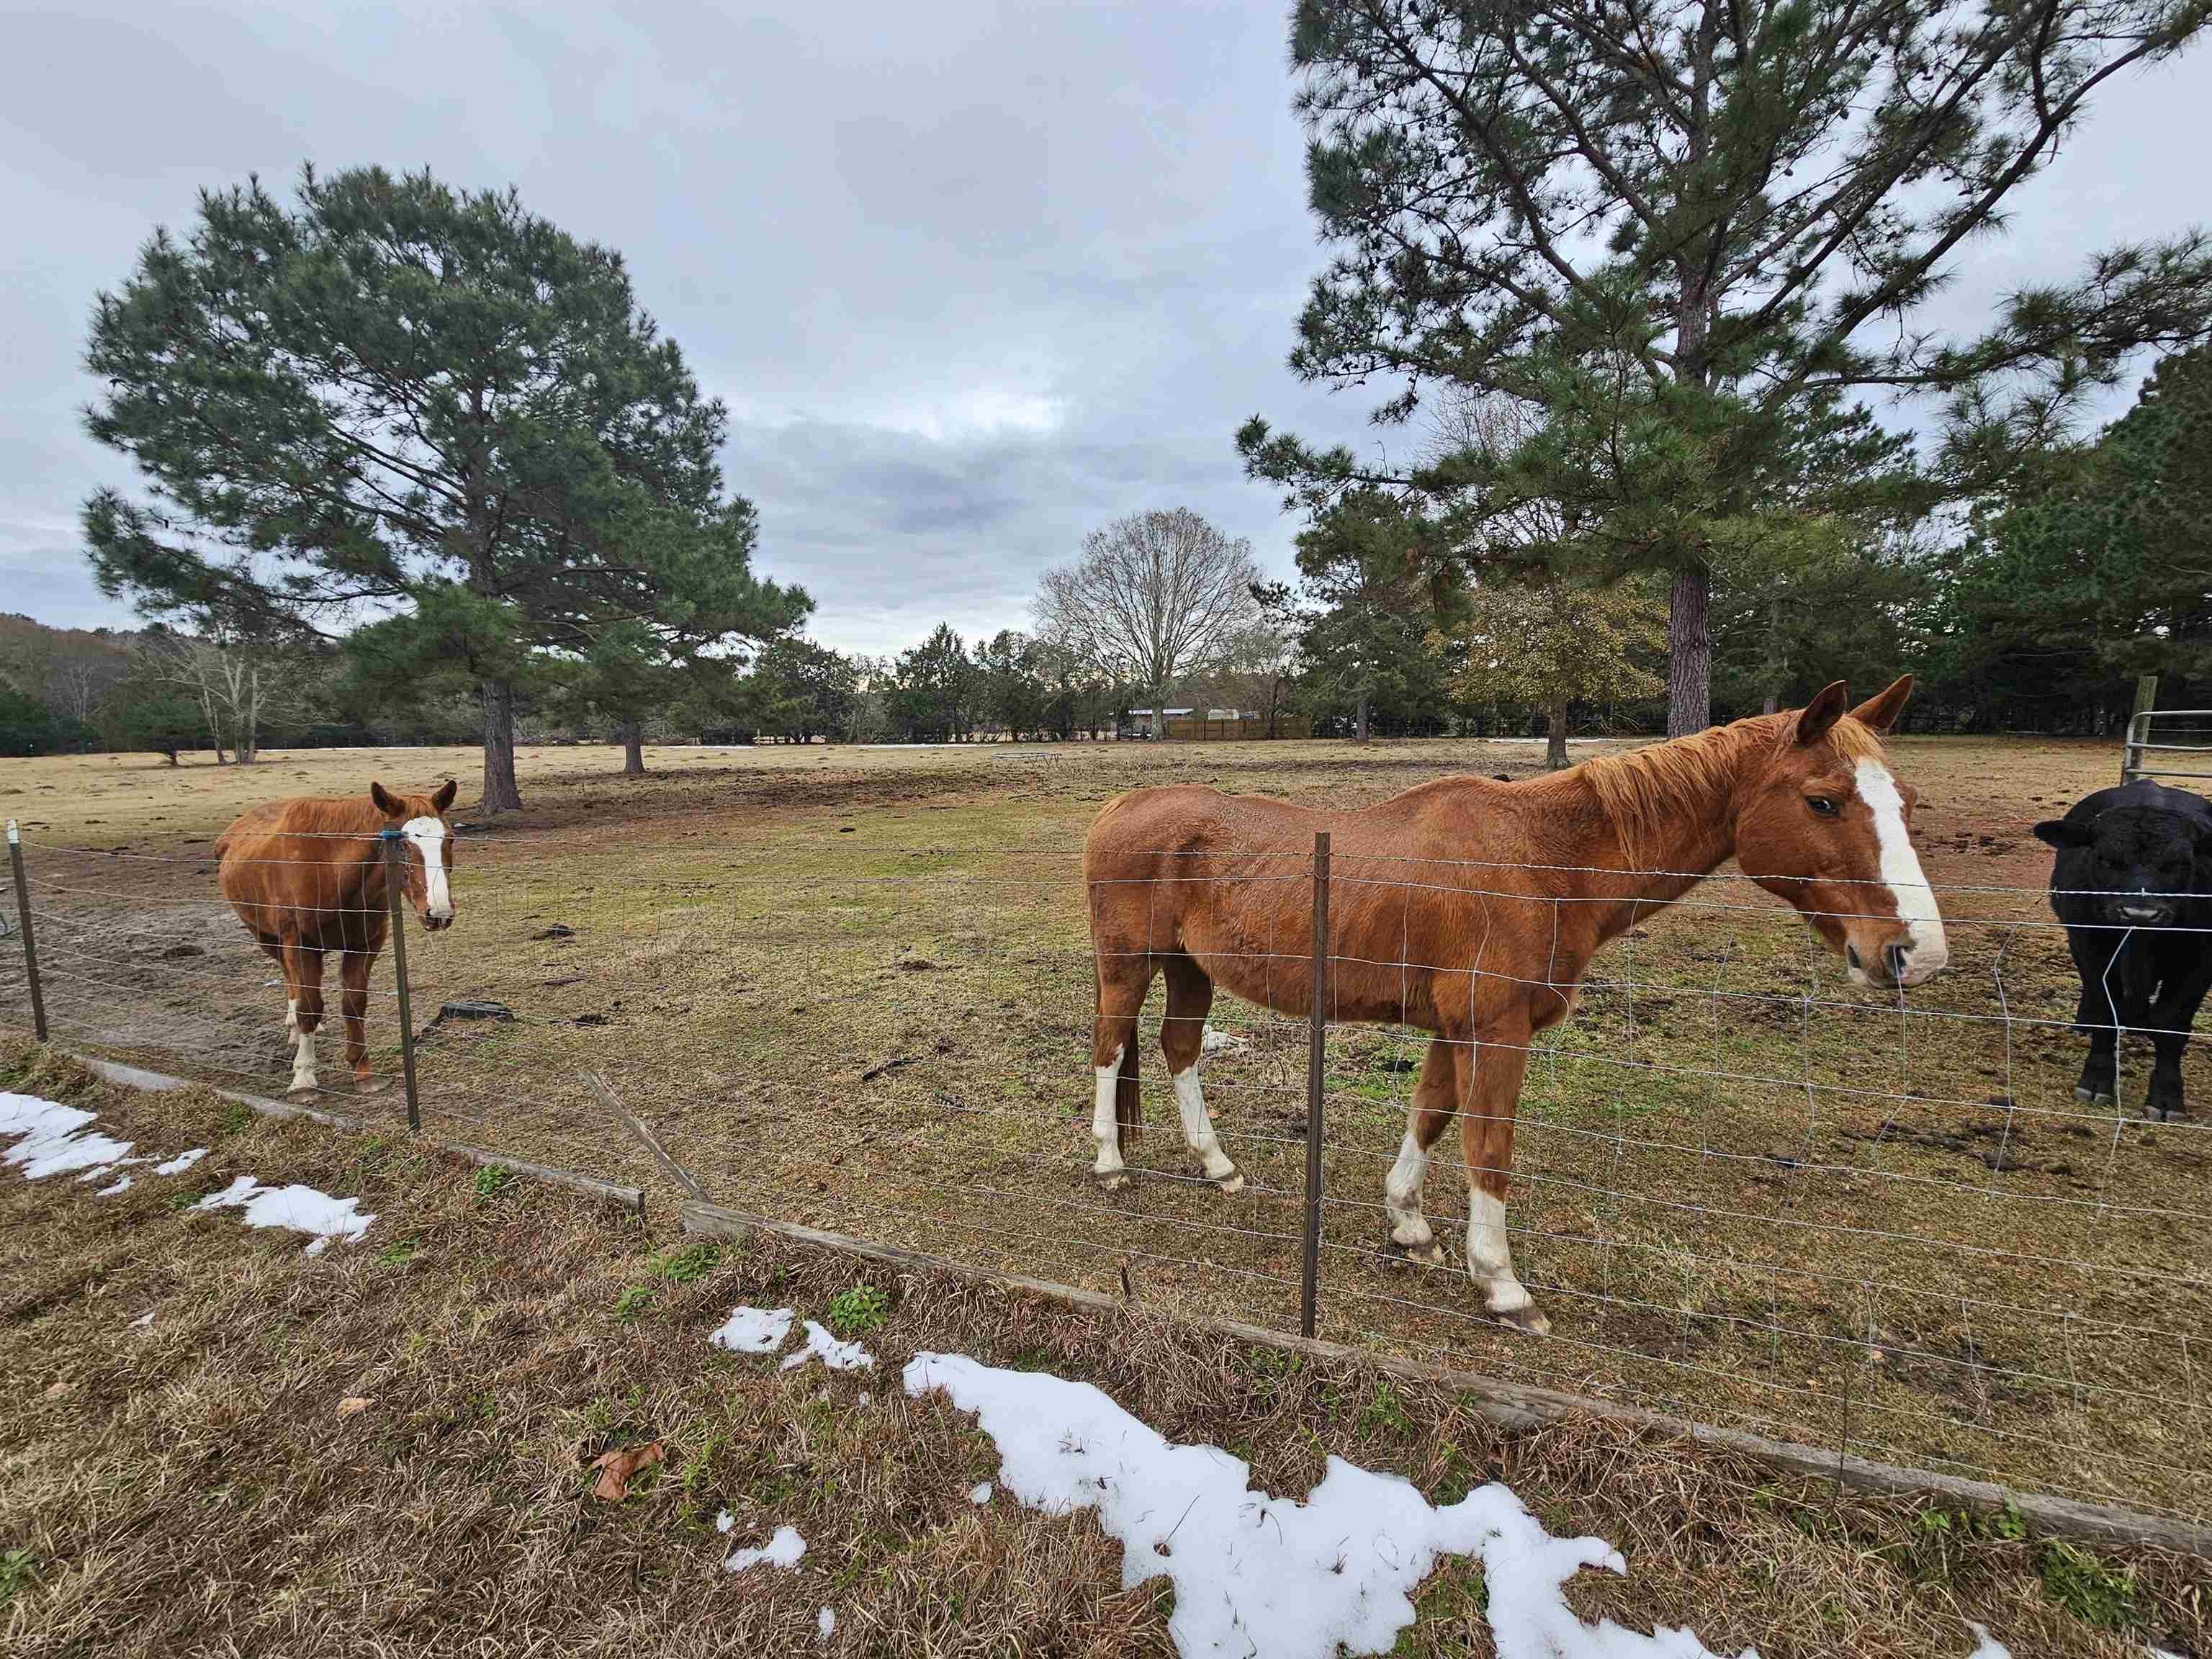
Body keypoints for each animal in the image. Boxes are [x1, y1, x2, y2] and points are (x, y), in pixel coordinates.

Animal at [215, 787, 457, 1097]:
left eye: (450, 838)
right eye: (403, 845)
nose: (438, 913)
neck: (330, 870)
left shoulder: (364, 945)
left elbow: (354, 1004)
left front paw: (362, 1069)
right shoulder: (301, 946)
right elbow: (309, 1006)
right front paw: (304, 1077)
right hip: (268, 939)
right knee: (290, 979)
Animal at [1079, 677, 1946, 1336]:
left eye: (1905, 800)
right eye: (1824, 801)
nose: (1915, 952)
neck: (1543, 861)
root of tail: (1120, 805)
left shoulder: (1454, 1029)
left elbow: (1431, 1117)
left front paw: (1410, 1226)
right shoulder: (1496, 1032)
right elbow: (1489, 1149)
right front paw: (1500, 1283)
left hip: (1190, 970)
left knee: (1178, 1048)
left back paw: (1216, 1164)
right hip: (1128, 966)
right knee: (1111, 1047)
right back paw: (1110, 1165)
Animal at [2035, 783, 2212, 1123]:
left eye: (2182, 863)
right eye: (2105, 859)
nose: (2140, 913)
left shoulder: (2200, 959)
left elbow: (2172, 1023)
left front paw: (2167, 1099)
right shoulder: (2090, 944)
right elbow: (2106, 1010)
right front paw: (2095, 1082)